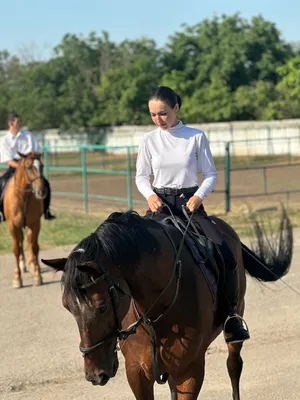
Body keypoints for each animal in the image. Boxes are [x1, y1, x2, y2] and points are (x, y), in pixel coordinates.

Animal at [4, 152, 47, 288]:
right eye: (28, 167)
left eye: (42, 166)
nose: (41, 191)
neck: (23, 197)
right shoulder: (13, 226)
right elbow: (16, 250)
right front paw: (17, 278)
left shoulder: (35, 224)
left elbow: (35, 247)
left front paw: (38, 276)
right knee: (20, 242)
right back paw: (22, 266)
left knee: (27, 240)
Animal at [41, 208, 292, 398]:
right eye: (68, 307)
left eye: (101, 307)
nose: (94, 374)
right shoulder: (137, 373)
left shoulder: (190, 371)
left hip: (234, 322)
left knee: (233, 365)